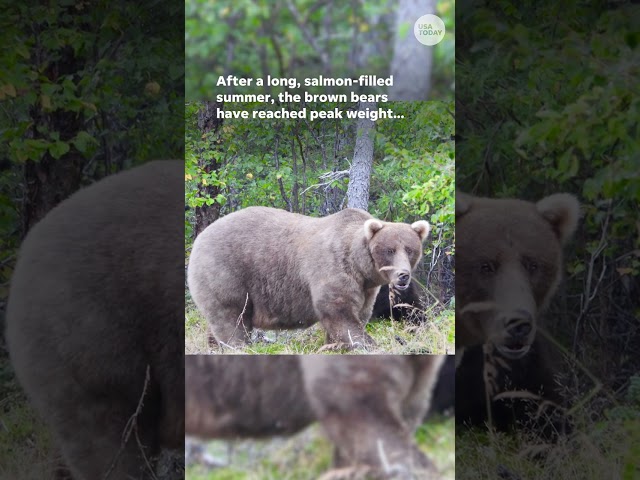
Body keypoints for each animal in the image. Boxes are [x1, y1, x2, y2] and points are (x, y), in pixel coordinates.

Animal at [189, 206, 430, 348]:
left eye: (410, 249)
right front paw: (365, 343)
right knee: (232, 319)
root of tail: (199, 237)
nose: (403, 275)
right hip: (226, 273)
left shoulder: (366, 288)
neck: (361, 267)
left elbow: (361, 313)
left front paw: (334, 345)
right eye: (389, 250)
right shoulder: (333, 268)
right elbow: (340, 313)